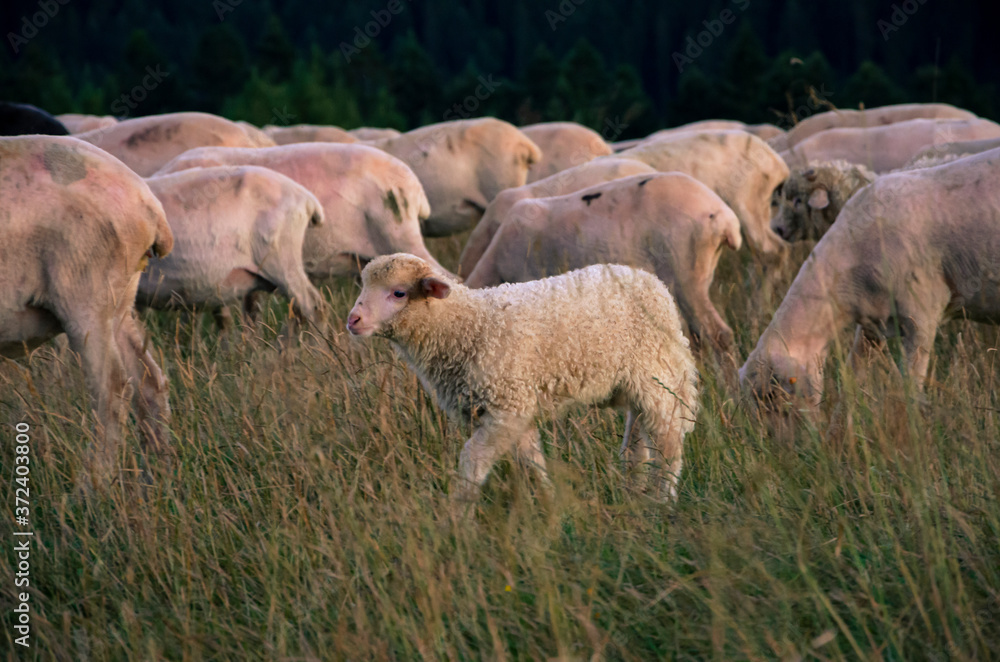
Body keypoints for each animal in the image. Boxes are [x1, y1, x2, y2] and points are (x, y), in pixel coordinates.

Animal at [347, 254, 700, 507]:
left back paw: (662, 502)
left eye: (398, 293)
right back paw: (634, 491)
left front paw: (459, 515)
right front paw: (548, 503)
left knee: (669, 442)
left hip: (658, 373)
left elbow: (473, 459)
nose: (353, 320)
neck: (467, 325)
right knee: (638, 441)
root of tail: (650, 280)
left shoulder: (507, 407)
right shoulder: (514, 409)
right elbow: (531, 462)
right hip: (636, 384)